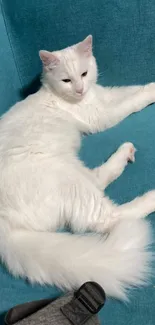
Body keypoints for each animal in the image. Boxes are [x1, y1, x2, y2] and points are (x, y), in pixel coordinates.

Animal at [0, 34, 155, 298]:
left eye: (84, 74)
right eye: (66, 80)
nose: (80, 89)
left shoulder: (105, 95)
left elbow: (133, 90)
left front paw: (152, 87)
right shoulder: (102, 115)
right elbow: (132, 101)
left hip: (74, 170)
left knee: (99, 180)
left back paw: (125, 153)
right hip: (67, 179)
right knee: (110, 217)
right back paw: (151, 195)